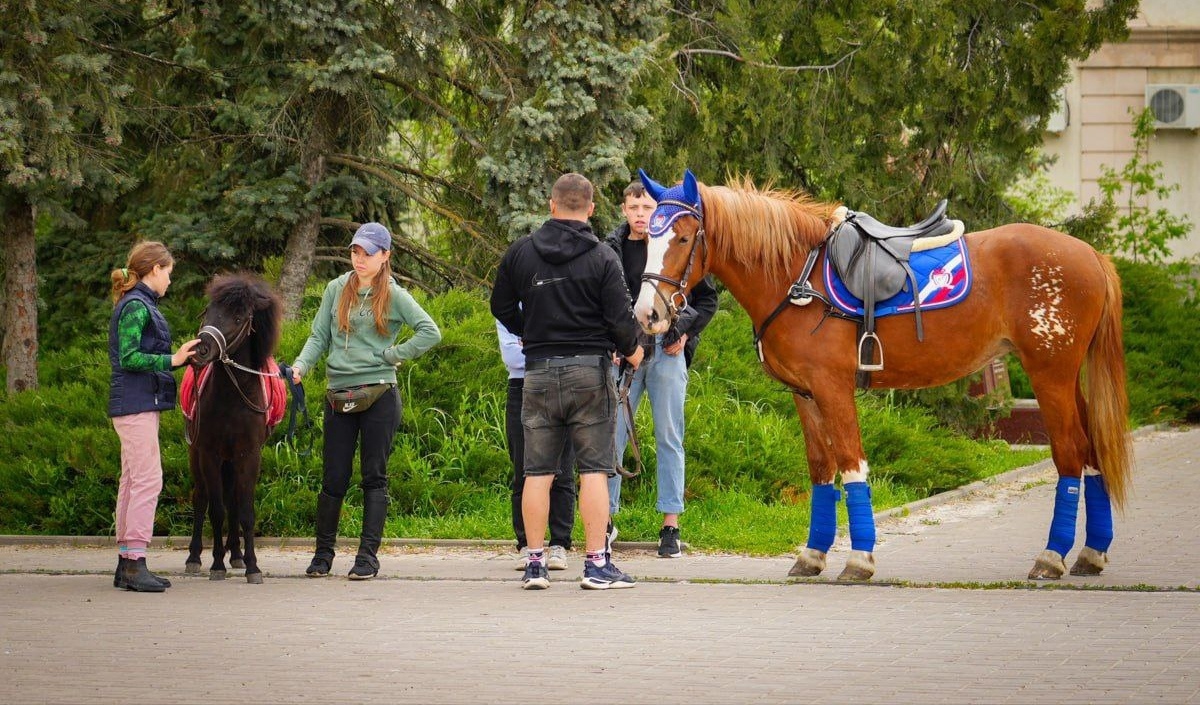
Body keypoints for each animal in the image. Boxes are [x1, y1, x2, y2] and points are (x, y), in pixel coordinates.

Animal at [183, 275, 282, 582]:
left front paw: (252, 566)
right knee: (201, 498)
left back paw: (236, 555)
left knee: (234, 502)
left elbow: (244, 510)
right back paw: (194, 558)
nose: (199, 351)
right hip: (197, 455)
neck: (231, 396)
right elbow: (215, 510)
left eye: (238, 318)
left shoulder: (248, 454)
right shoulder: (209, 454)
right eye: (208, 311)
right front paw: (216, 564)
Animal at [633, 169, 1128, 577]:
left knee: (1070, 454)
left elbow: (852, 466)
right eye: (647, 239)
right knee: (1091, 453)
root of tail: (1091, 254)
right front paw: (812, 555)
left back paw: (1052, 557)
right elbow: (821, 470)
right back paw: (1090, 553)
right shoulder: (804, 394)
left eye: (682, 239)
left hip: (1050, 376)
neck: (797, 275)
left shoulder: (832, 388)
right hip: (1068, 379)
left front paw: (859, 558)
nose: (646, 313)